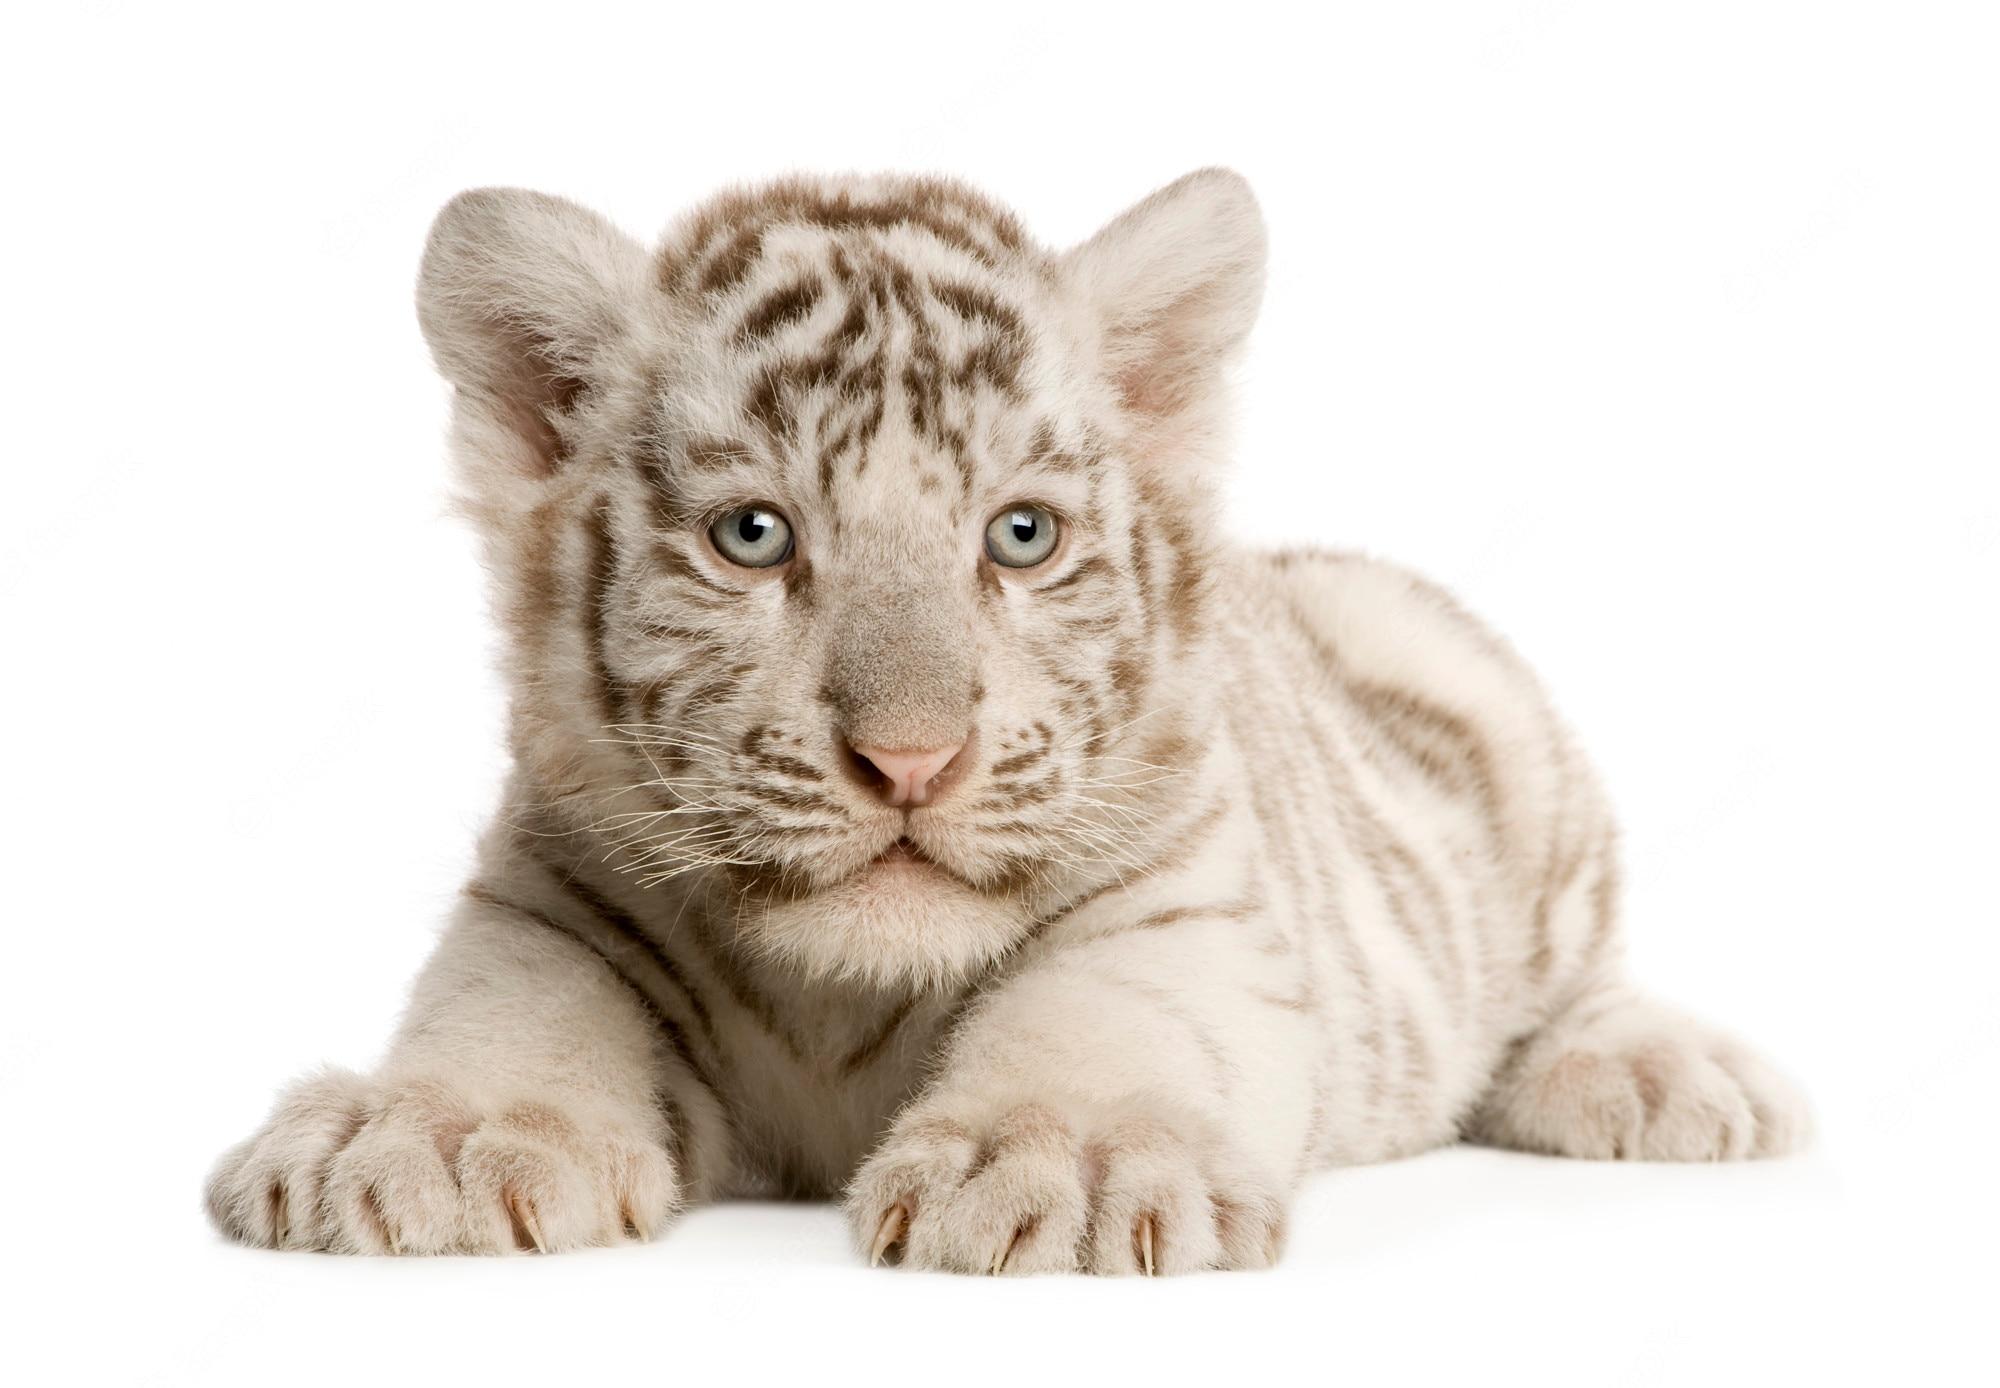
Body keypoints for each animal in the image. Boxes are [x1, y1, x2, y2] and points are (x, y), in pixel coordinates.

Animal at [204, 169, 1808, 1273]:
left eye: (1020, 536)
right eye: (753, 536)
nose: (911, 758)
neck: (839, 995)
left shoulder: (1177, 906)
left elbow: (1101, 1016)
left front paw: (1066, 1173)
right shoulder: (549, 901)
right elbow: (511, 1012)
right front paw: (436, 1141)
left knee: (1576, 973)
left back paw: (1665, 1079)